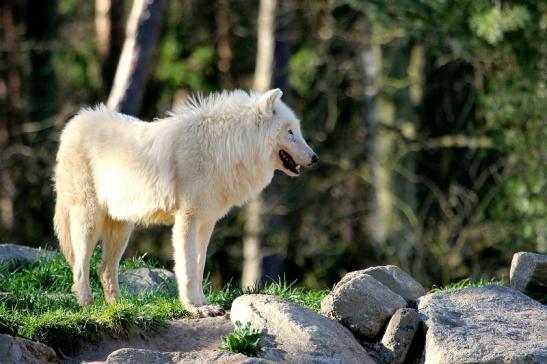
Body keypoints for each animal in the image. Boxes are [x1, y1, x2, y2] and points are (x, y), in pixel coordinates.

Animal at [53, 88, 318, 316]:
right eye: (291, 132)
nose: (315, 158)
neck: (226, 148)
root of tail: (76, 121)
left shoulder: (206, 222)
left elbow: (199, 267)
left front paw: (203, 303)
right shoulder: (187, 220)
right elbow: (188, 269)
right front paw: (193, 307)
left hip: (121, 228)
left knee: (105, 269)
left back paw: (119, 308)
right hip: (89, 221)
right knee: (80, 266)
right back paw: (88, 306)